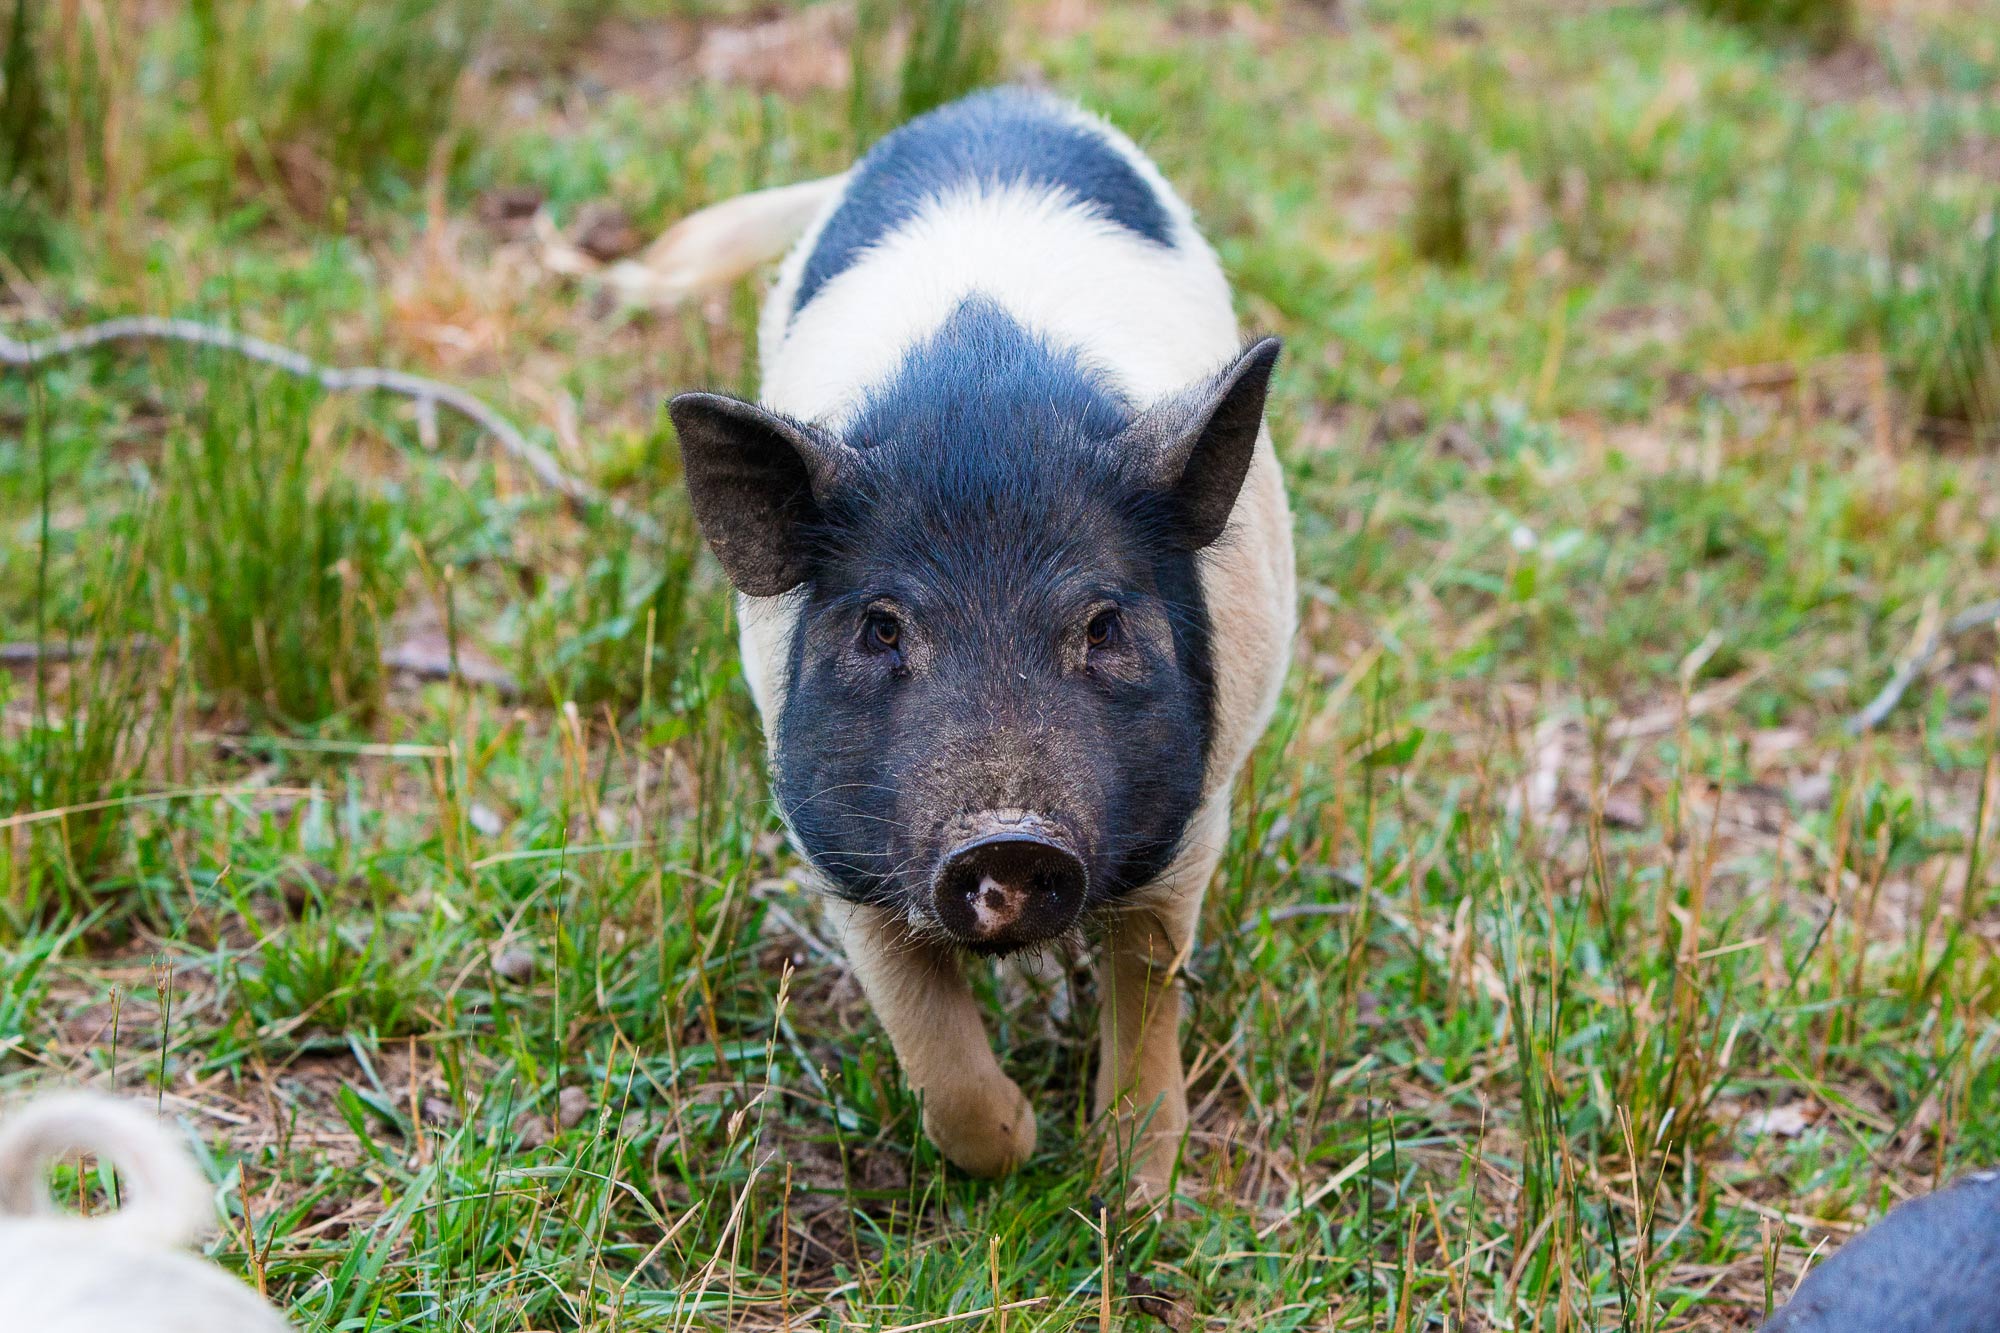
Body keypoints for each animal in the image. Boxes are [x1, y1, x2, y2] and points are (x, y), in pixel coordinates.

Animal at [656, 85, 1296, 1184]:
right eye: (881, 627)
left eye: (1102, 623)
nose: (1006, 836)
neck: (984, 416)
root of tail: (998, 98)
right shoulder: (837, 844)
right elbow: (928, 1041)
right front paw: (1019, 1147)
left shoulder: (1193, 813)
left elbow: (1150, 981)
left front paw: (1130, 1187)